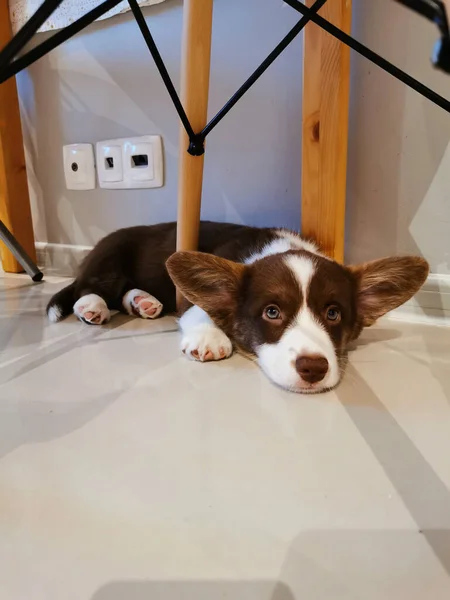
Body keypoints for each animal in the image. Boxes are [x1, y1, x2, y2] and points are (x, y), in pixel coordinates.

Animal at [46, 220, 428, 394]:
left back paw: (144, 302)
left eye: (333, 314)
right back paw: (92, 307)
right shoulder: (197, 300)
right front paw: (209, 340)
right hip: (110, 260)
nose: (314, 369)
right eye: (272, 312)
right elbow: (201, 311)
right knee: (90, 286)